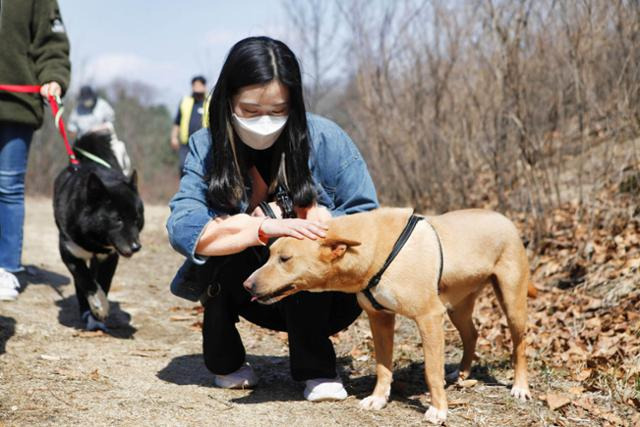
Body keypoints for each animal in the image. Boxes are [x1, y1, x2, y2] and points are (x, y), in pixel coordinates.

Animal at [53, 133, 144, 332]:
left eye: (137, 219)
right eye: (118, 219)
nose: (136, 247)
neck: (93, 239)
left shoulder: (109, 257)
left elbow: (103, 282)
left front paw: (100, 310)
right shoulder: (69, 252)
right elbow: (86, 280)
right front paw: (99, 307)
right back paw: (87, 312)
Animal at [242, 208, 532, 424]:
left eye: (285, 258)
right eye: (269, 254)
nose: (246, 285)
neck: (375, 249)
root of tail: (502, 217)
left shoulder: (429, 318)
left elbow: (431, 371)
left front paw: (438, 409)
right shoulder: (379, 319)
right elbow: (382, 367)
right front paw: (379, 399)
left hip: (512, 300)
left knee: (519, 344)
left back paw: (520, 387)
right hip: (458, 307)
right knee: (472, 334)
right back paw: (461, 374)